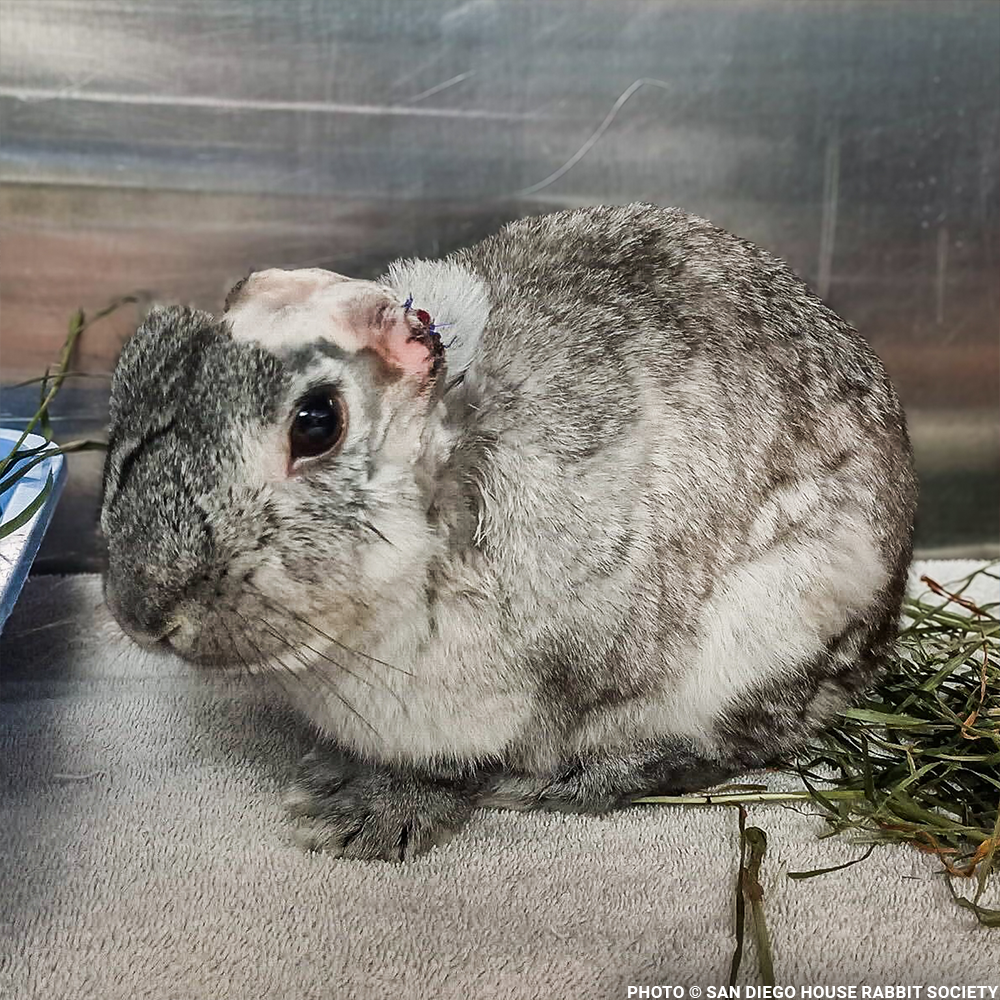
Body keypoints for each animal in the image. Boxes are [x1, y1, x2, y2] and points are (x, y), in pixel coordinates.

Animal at [101, 203, 917, 861]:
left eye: (317, 422)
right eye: (134, 367)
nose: (142, 614)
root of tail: (883, 631)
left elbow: (457, 767)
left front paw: (362, 819)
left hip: (775, 628)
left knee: (727, 742)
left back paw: (567, 784)